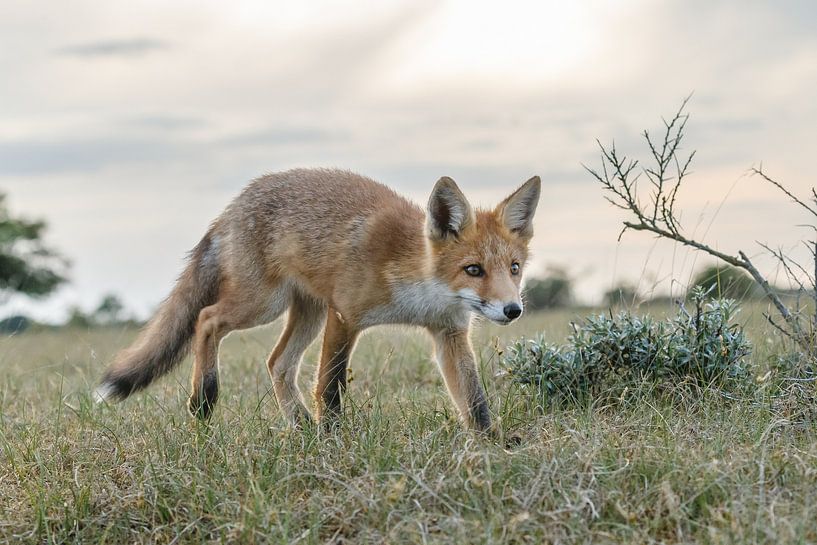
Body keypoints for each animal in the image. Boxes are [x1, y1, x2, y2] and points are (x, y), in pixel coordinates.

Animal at [95, 169, 540, 434]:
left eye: (514, 268)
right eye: (474, 269)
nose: (513, 310)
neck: (419, 293)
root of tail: (232, 207)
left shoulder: (449, 332)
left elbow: (474, 400)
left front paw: (491, 445)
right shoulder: (345, 315)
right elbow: (330, 387)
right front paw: (334, 438)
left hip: (305, 312)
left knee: (277, 363)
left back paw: (300, 426)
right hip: (263, 304)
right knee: (206, 319)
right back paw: (205, 399)